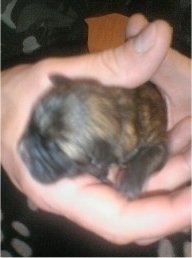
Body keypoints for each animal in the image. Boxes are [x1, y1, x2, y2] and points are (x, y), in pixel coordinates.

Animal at [18, 74, 168, 200]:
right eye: (31, 125)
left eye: (56, 151)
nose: (22, 150)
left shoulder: (158, 144)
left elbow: (148, 156)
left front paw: (129, 184)